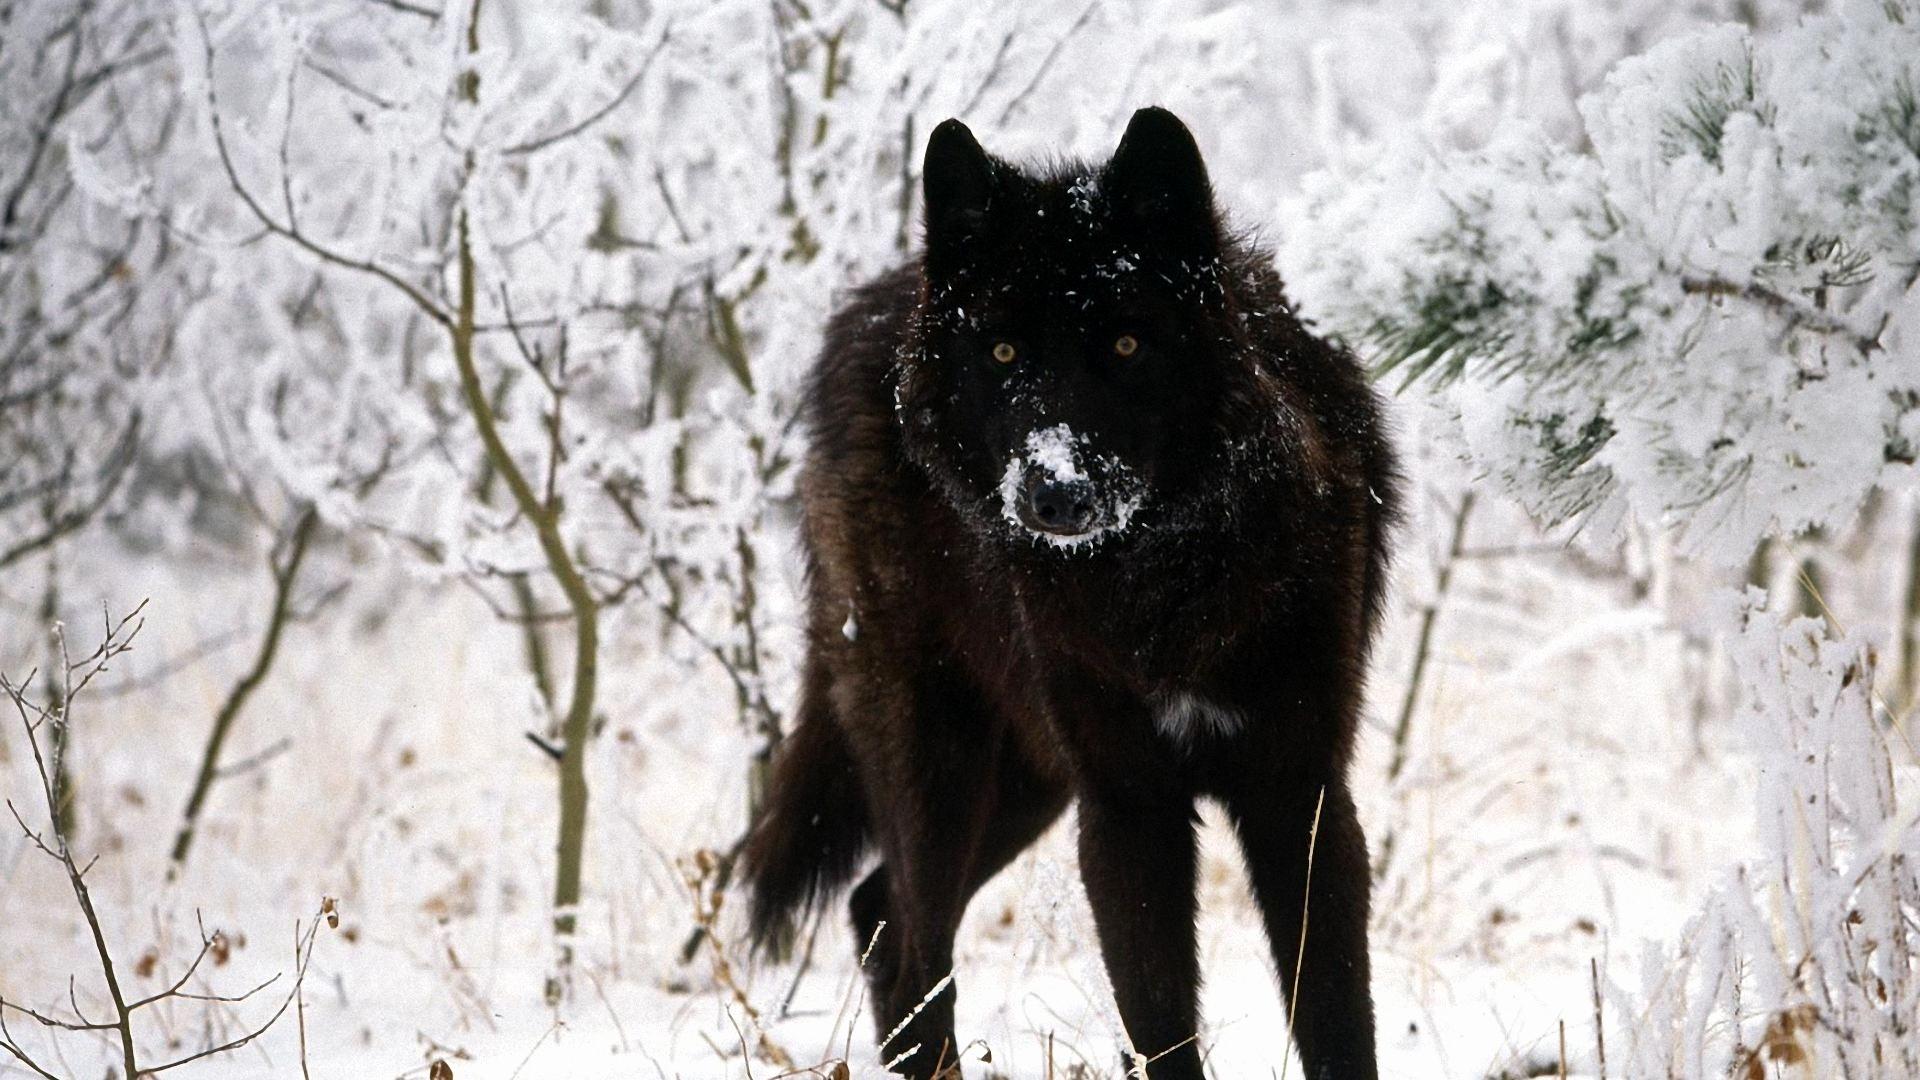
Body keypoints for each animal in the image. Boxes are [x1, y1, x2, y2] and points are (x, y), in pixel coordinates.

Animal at [740, 107, 1399, 1080]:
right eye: (1003, 349)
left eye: (1126, 344)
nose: (1054, 494)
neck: (1161, 587)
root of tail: (868, 309)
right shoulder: (1126, 808)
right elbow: (1161, 1026)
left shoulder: (1299, 796)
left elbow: (1335, 1021)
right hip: (942, 769)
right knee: (912, 942)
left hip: (1028, 781)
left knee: (877, 913)